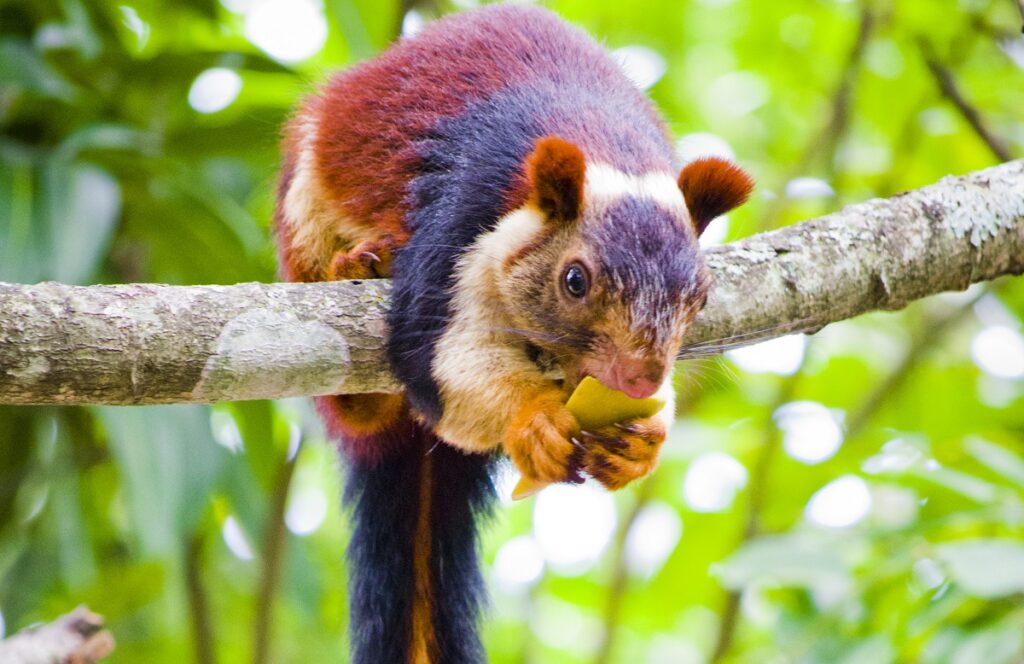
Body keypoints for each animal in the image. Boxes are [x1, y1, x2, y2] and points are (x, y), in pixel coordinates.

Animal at [275, 5, 753, 663]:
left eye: (700, 297)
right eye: (574, 280)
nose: (639, 378)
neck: (610, 148)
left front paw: (643, 441)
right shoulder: (458, 224)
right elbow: (438, 360)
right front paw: (533, 420)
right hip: (305, 206)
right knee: (355, 406)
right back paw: (360, 293)